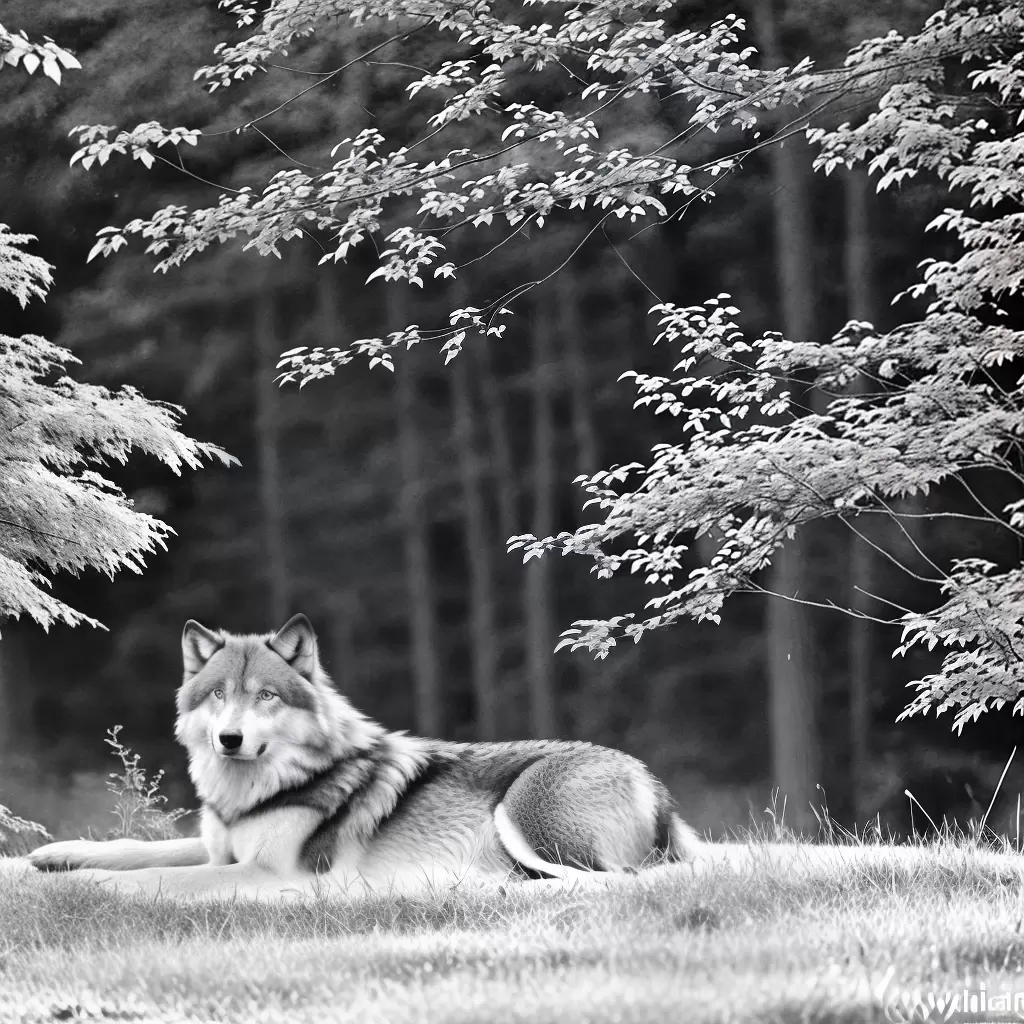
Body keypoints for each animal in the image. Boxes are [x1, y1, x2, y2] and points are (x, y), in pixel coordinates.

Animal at [27, 614, 702, 900]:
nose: (230, 740)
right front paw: (57, 856)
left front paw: (83, 884)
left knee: (613, 881)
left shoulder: (268, 872)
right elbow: (139, 850)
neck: (262, 788)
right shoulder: (221, 847)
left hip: (525, 821)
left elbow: (156, 875)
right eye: (219, 695)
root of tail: (649, 777)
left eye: (265, 696)